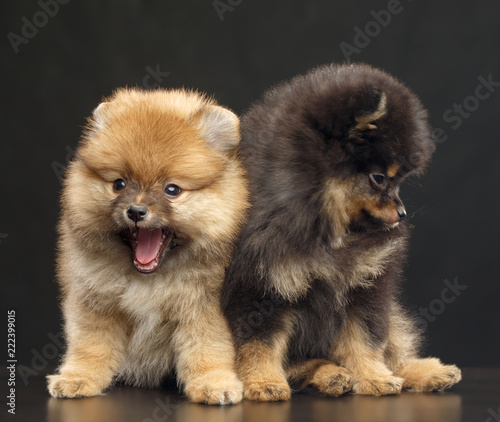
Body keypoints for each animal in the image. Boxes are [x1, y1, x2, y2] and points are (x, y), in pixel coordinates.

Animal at [46, 86, 249, 406]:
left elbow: (208, 347)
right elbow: (90, 345)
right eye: (119, 184)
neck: (149, 280)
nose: (136, 211)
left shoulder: (205, 307)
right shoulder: (93, 301)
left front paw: (213, 383)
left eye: (172, 190)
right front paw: (78, 378)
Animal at [221, 63, 462, 402]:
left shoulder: (364, 286)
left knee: (394, 348)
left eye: (398, 180)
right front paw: (263, 382)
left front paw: (373, 377)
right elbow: (258, 345)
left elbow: (366, 339)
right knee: (299, 366)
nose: (402, 213)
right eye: (379, 178)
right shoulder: (259, 288)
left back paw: (425, 372)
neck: (325, 233)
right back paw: (329, 374)